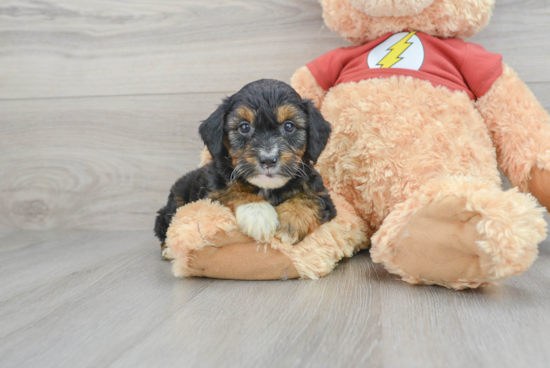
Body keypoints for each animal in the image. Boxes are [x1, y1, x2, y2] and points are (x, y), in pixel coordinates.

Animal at [154, 79, 336, 260]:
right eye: (244, 127)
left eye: (289, 126)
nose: (268, 160)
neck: (266, 187)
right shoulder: (212, 193)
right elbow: (233, 192)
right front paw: (258, 214)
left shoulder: (321, 194)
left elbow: (310, 199)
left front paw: (291, 222)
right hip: (177, 199)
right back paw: (169, 249)